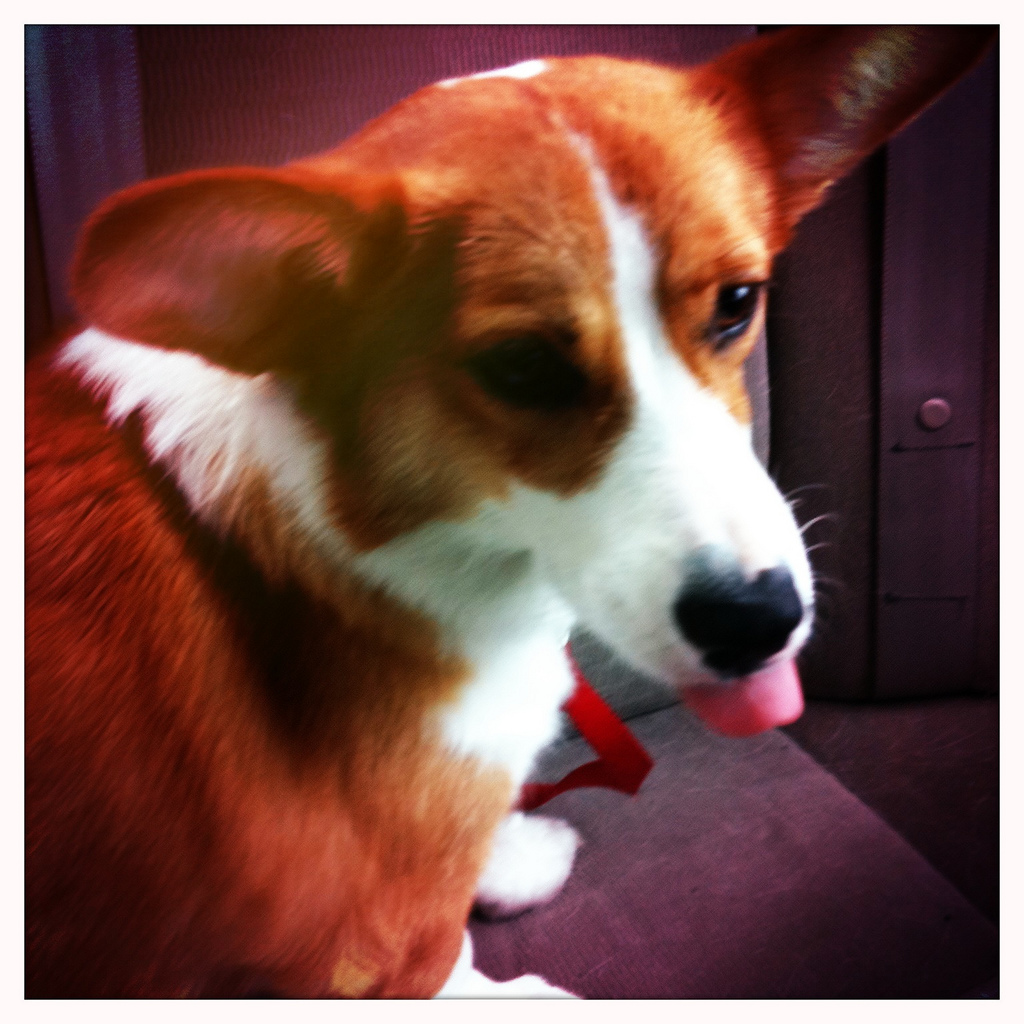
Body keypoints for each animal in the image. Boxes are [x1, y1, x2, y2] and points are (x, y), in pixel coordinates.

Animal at [26, 26, 993, 997]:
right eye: (522, 366)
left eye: (738, 302)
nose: (760, 620)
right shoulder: (376, 950)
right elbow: (451, 958)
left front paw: (510, 854)